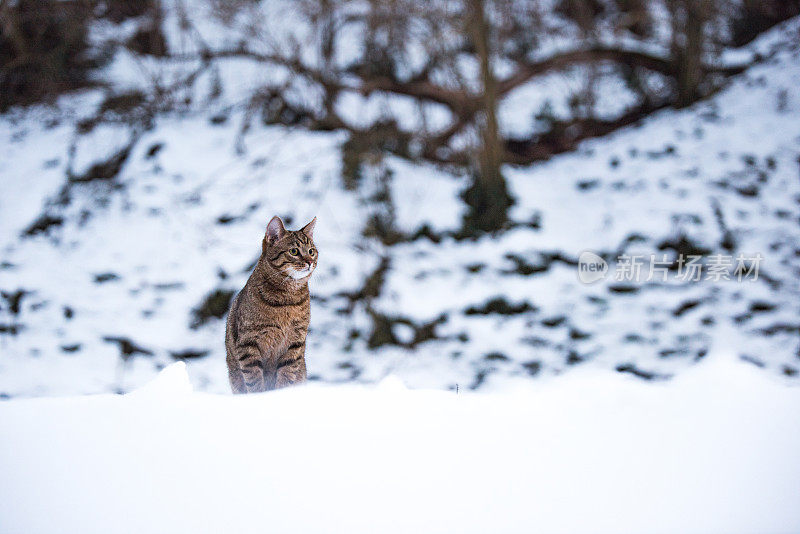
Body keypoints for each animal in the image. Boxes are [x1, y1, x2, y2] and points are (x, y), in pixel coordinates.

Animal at [225, 216, 318, 396]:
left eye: (311, 251)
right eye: (294, 251)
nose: (310, 262)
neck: (288, 300)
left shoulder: (295, 341)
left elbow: (286, 375)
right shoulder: (249, 342)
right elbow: (254, 379)